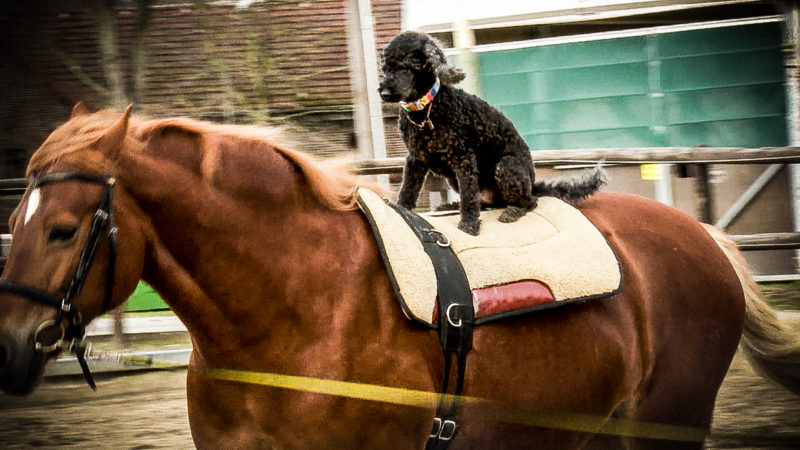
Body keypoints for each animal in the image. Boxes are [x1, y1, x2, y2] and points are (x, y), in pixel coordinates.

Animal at [1, 103, 800, 448]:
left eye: (63, 228)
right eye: (14, 221)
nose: (8, 347)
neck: (297, 312)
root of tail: (702, 237)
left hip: (665, 426)